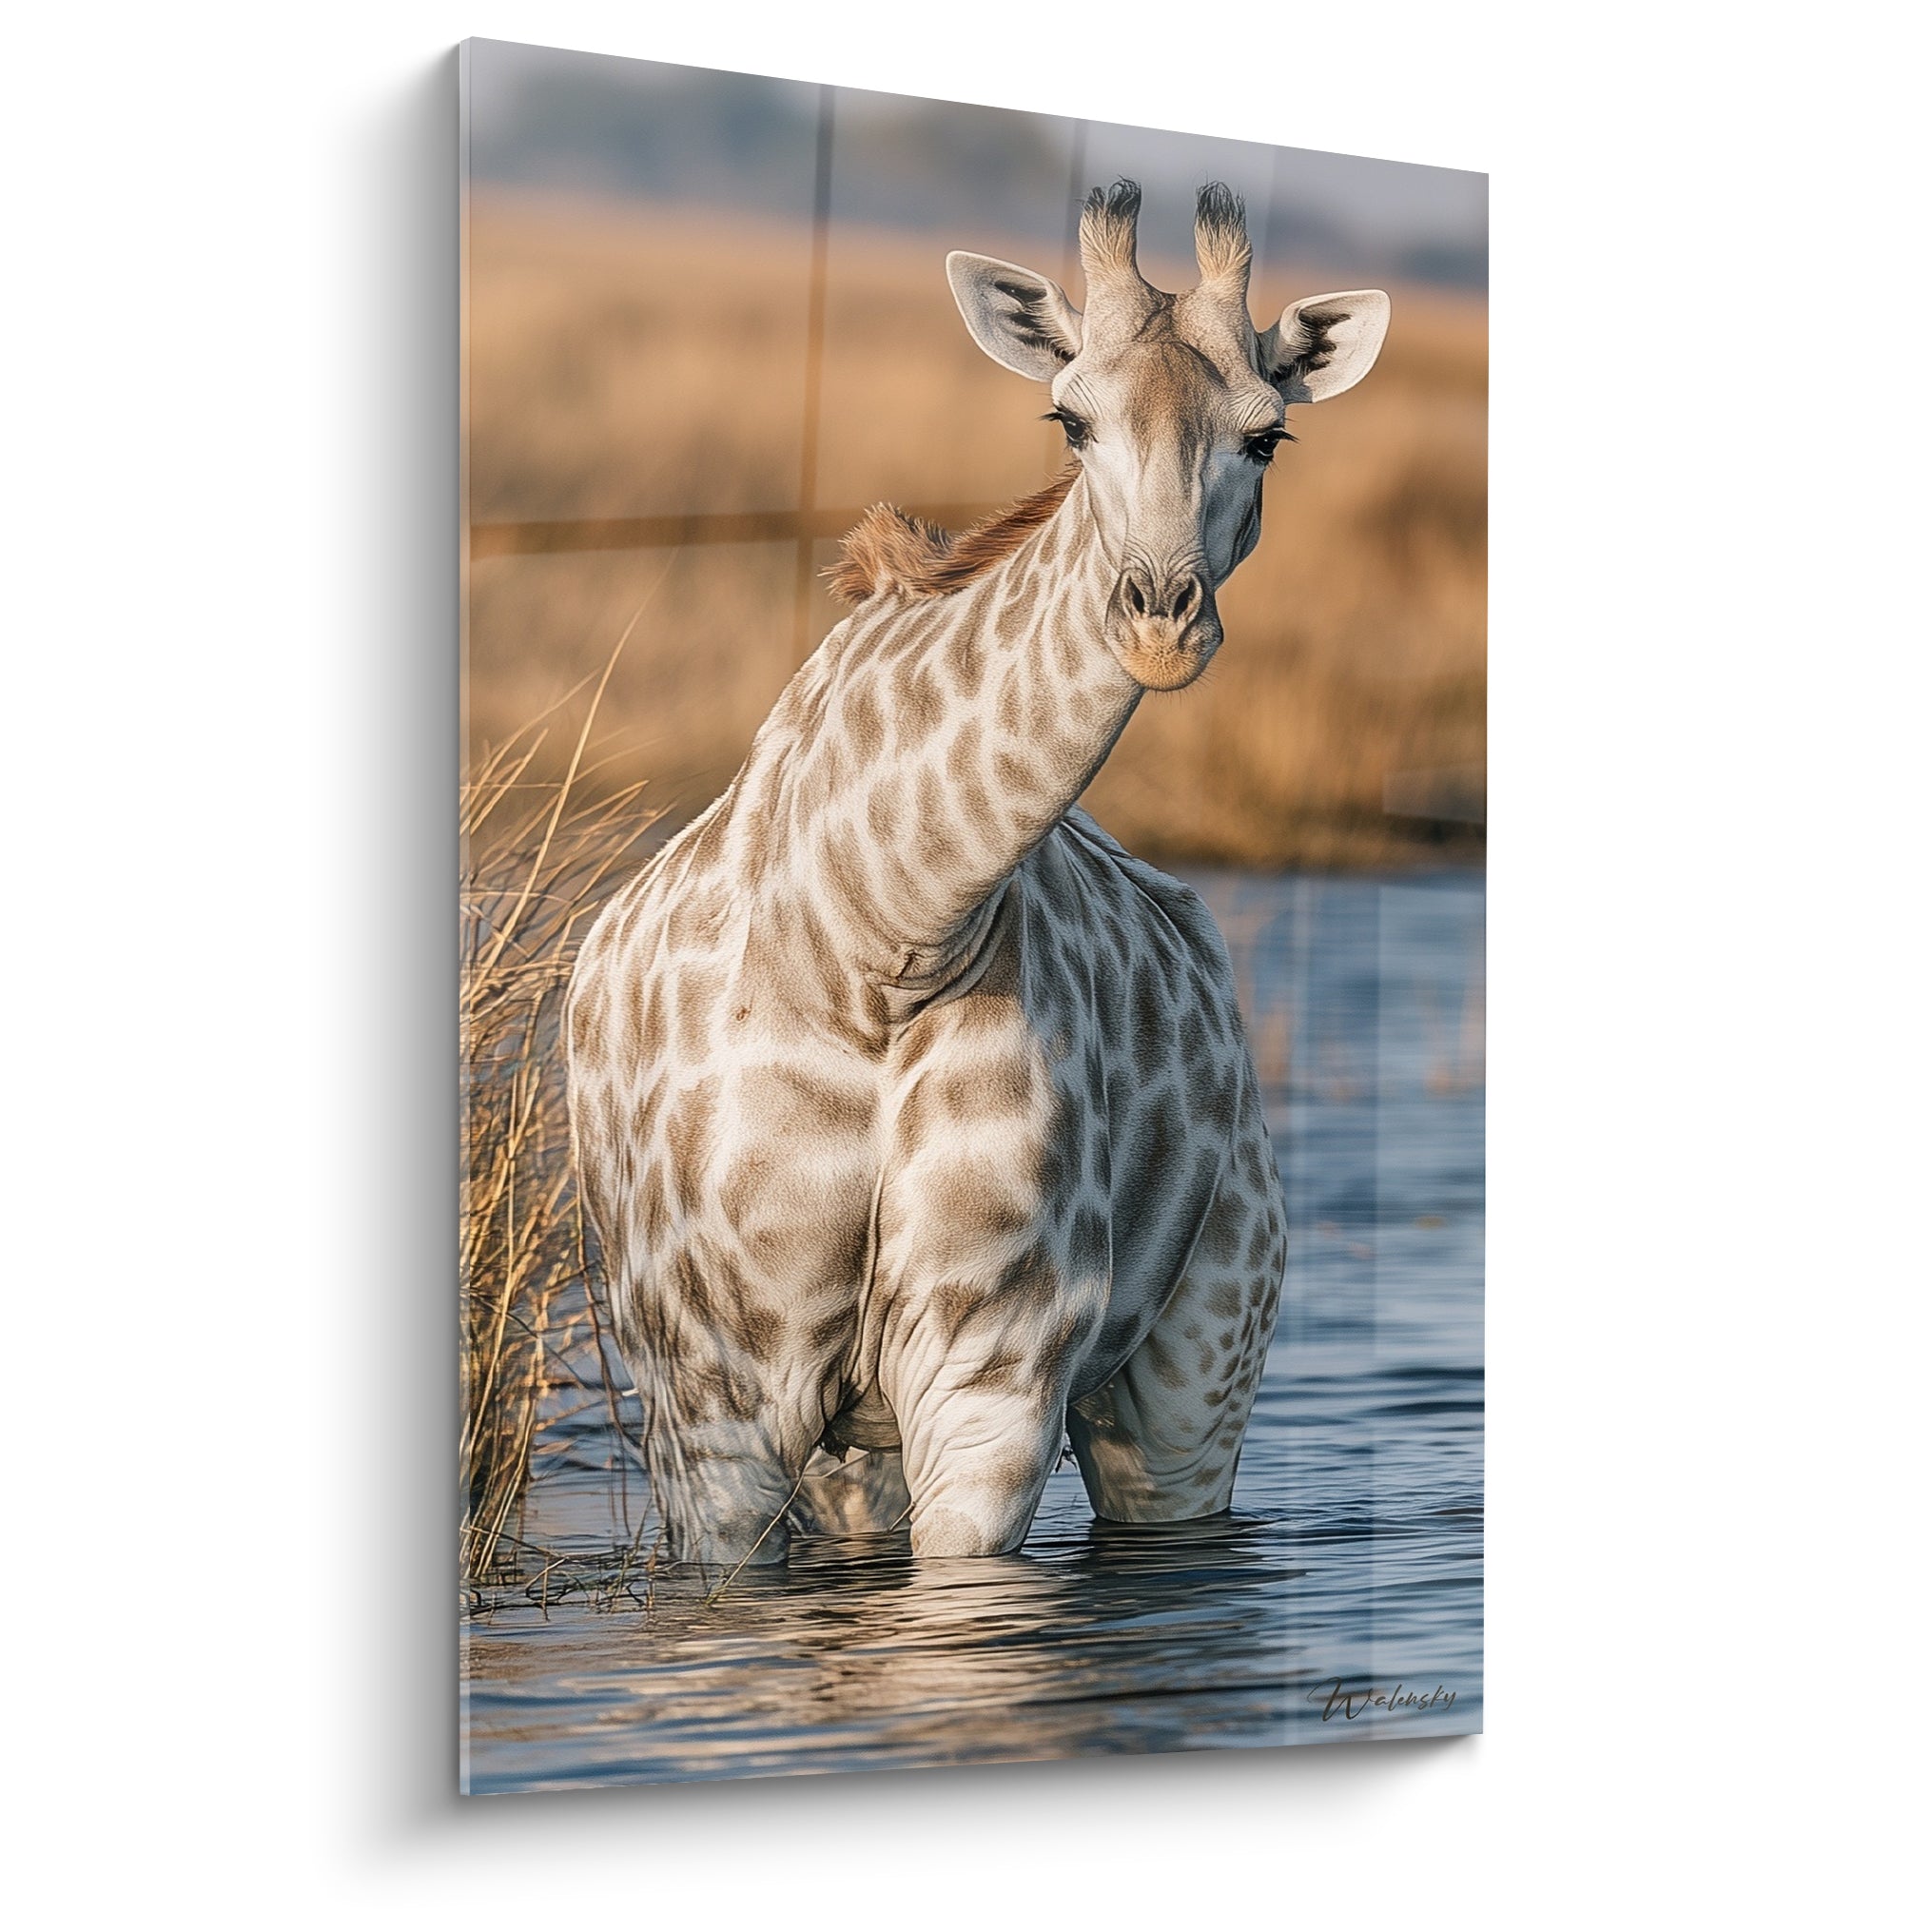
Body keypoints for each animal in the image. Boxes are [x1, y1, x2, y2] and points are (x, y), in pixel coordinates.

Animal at [565, 181, 1389, 1565]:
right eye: (1069, 418)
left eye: (1267, 437)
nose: (1159, 620)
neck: (869, 941)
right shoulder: (709, 1403)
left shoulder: (991, 1364)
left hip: (1198, 1361)